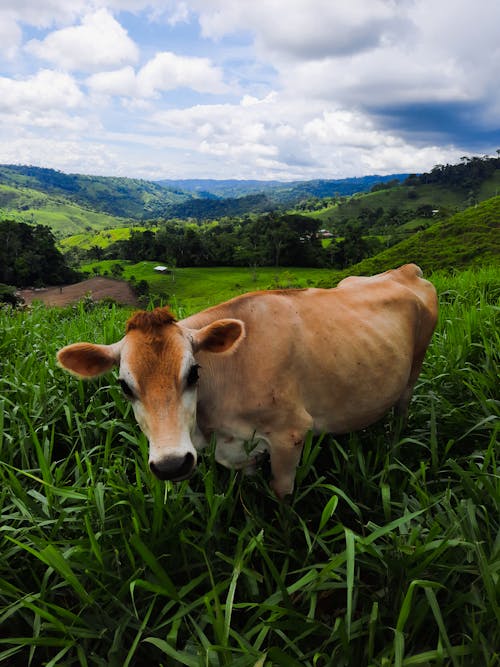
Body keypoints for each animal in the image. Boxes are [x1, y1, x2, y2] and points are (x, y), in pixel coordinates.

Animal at [56, 264, 436, 498]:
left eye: (194, 372)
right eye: (125, 386)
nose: (171, 463)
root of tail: (404, 270)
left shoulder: (290, 434)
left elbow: (281, 495)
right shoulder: (237, 450)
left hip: (415, 367)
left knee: (402, 410)